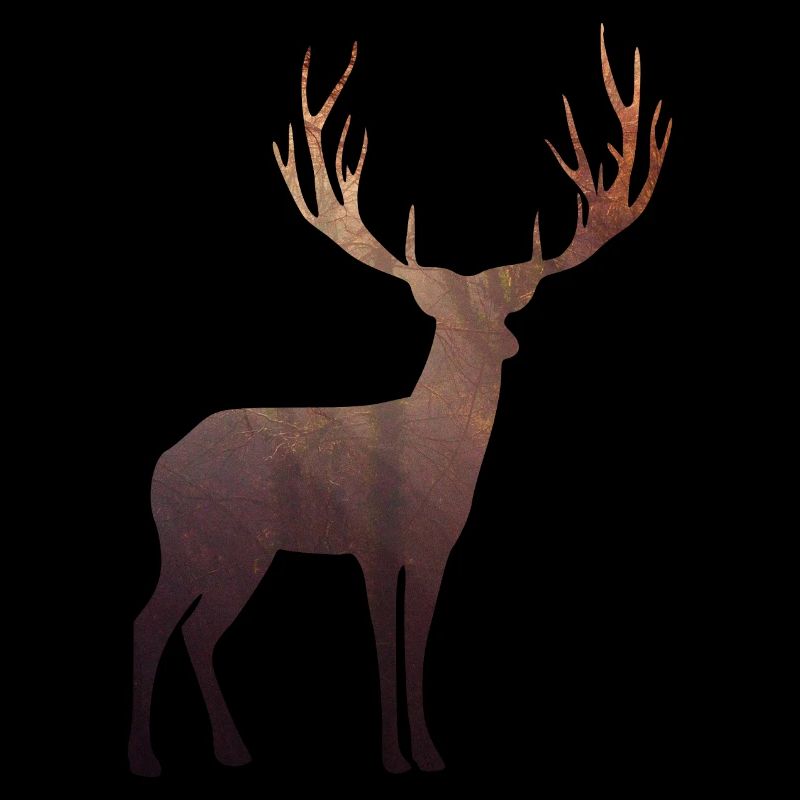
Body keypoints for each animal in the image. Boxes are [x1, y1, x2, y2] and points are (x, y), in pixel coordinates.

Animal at [129, 26, 671, 777]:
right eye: (445, 317)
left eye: (503, 308)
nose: (500, 346)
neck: (426, 451)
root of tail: (161, 467)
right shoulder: (373, 540)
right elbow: (385, 644)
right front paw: (393, 757)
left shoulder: (437, 546)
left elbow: (416, 645)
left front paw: (431, 754)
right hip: (207, 536)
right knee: (155, 623)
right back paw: (148, 758)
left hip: (229, 547)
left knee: (195, 629)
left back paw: (231, 750)